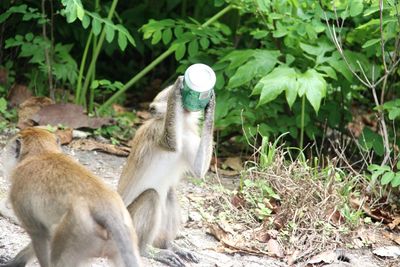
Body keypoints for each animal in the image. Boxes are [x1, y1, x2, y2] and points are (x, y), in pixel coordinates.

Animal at [116, 76, 216, 266]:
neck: (181, 126)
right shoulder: (157, 129)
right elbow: (171, 143)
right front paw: (177, 93)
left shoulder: (189, 135)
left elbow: (198, 171)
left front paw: (210, 107)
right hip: (128, 223)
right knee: (152, 196)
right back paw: (146, 250)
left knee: (169, 194)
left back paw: (169, 245)